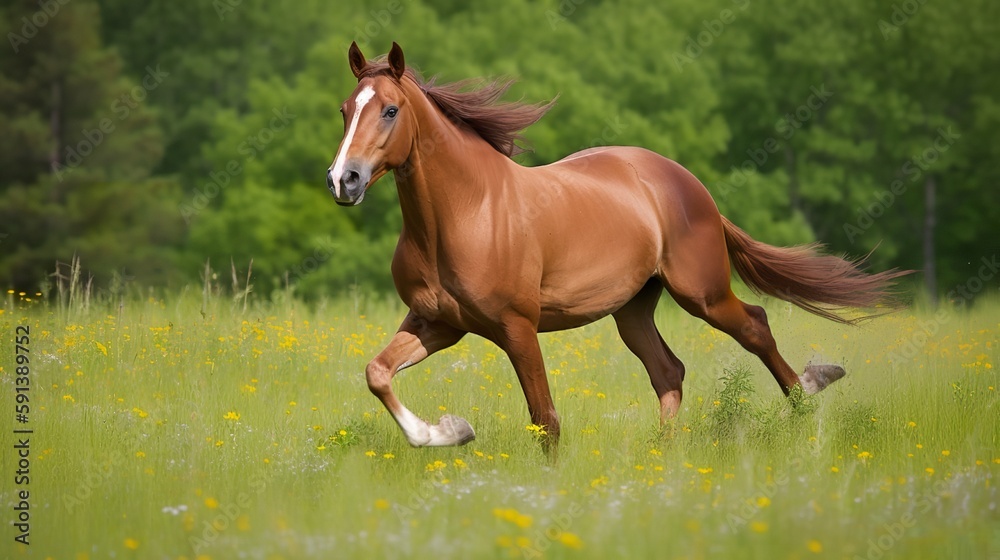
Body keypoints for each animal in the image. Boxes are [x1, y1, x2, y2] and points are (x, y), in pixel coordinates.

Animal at [326, 42, 908, 456]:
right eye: (345, 110)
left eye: (390, 110)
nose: (343, 180)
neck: (466, 214)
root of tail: (688, 184)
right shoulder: (438, 323)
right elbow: (377, 373)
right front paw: (449, 431)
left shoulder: (516, 327)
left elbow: (546, 421)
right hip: (632, 308)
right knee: (668, 372)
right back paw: (660, 457)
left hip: (702, 293)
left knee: (755, 326)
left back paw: (806, 401)